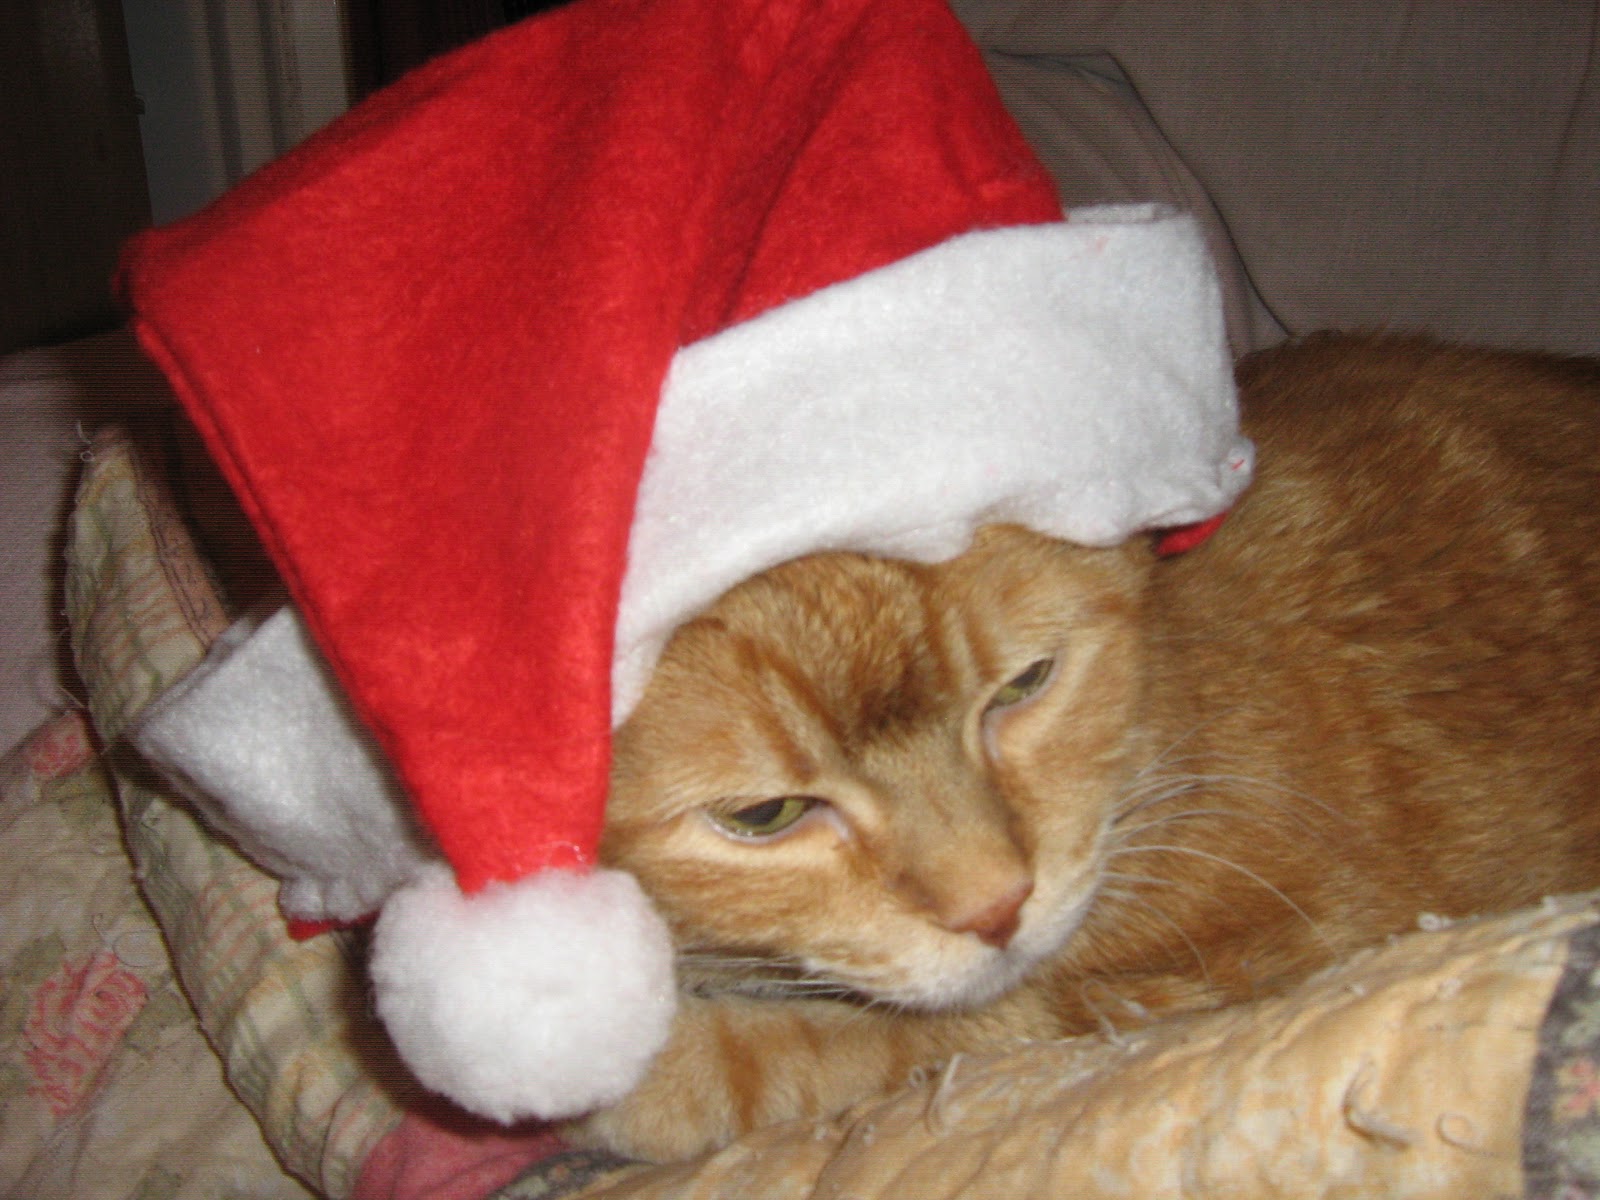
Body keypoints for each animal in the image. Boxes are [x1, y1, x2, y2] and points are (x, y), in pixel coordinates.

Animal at [570, 332, 1600, 1162]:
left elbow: (850, 1049)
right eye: (764, 815)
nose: (997, 907)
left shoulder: (1249, 966)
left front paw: (647, 1075)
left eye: (1025, 684)